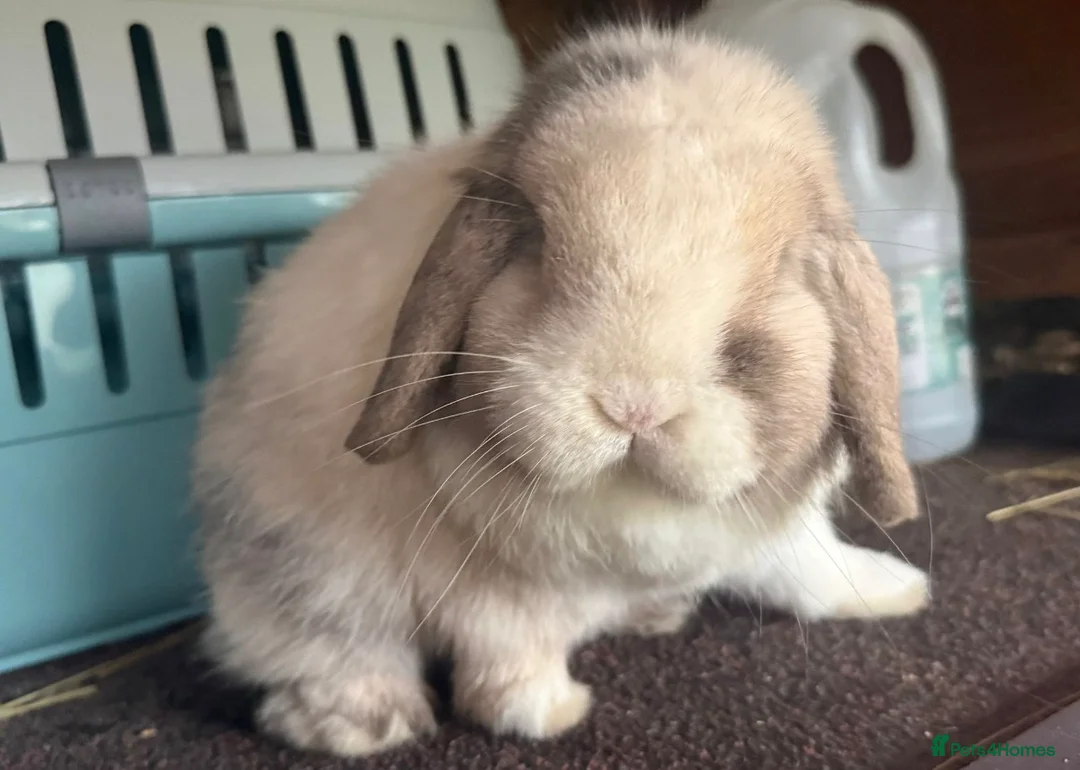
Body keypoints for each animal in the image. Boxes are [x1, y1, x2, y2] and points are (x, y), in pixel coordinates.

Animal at [192, 23, 930, 758]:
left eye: (780, 267)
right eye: (538, 239)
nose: (635, 406)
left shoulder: (777, 531)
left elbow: (811, 569)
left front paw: (901, 591)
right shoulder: (493, 589)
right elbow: (510, 653)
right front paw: (544, 712)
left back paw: (660, 611)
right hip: (301, 569)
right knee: (323, 650)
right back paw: (362, 724)